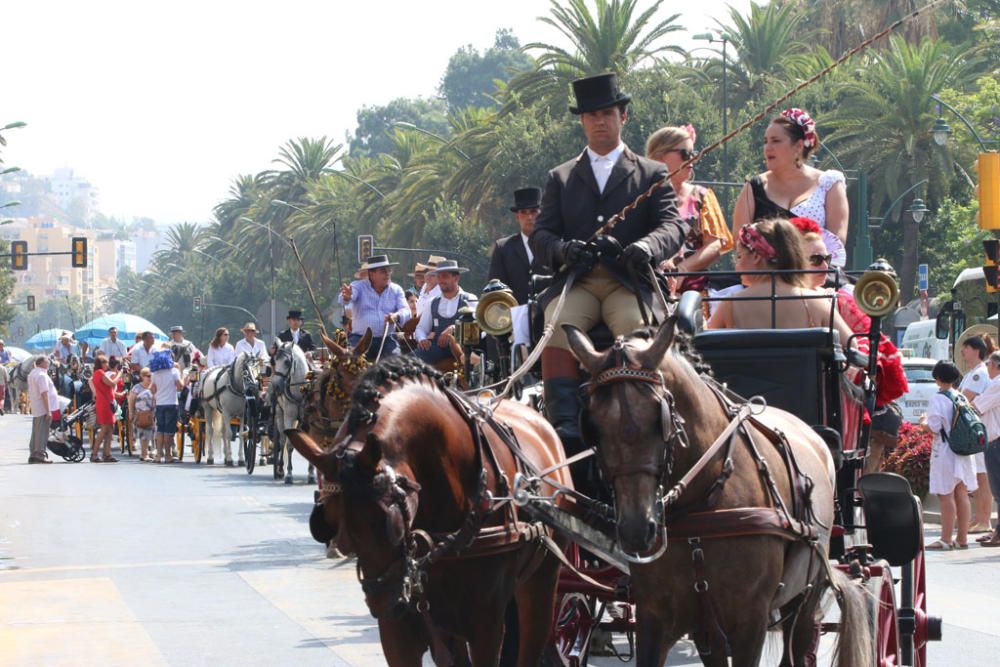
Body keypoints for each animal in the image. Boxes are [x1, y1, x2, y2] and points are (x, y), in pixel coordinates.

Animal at [268, 344, 314, 486]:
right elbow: (289, 446)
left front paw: (311, 475)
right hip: (279, 414)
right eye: (273, 361)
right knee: (282, 440)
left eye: (287, 362)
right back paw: (280, 470)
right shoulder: (289, 416)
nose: (276, 387)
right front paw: (289, 475)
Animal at [290, 354, 572, 664]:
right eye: (328, 520)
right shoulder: (400, 630)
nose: (383, 601)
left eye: (389, 522)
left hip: (542, 582)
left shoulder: (486, 623)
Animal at [568, 318, 872, 667]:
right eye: (593, 426)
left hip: (805, 599)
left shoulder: (749, 620)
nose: (636, 529)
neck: (704, 502)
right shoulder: (657, 616)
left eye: (660, 419)